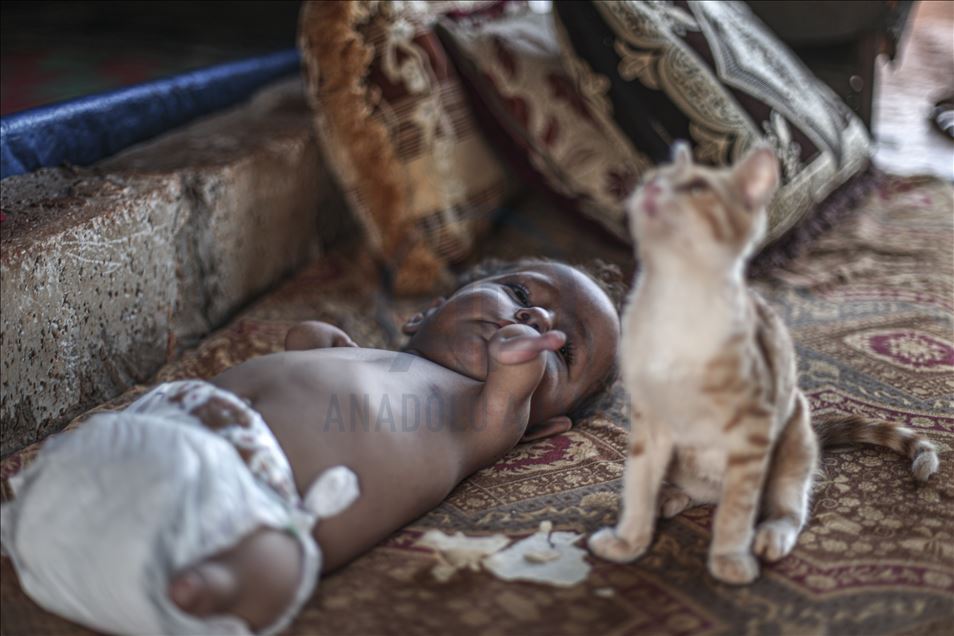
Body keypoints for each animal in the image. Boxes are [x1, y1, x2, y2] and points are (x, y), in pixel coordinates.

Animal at [589, 142, 939, 584]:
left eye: (697, 187)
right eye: (653, 178)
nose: (650, 190)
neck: (676, 305)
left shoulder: (752, 430)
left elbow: (737, 511)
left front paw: (729, 558)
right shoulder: (648, 421)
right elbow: (638, 485)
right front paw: (630, 541)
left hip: (793, 441)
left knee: (786, 507)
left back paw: (772, 534)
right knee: (683, 489)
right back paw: (668, 497)